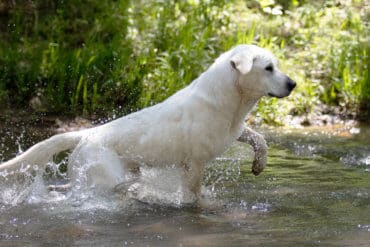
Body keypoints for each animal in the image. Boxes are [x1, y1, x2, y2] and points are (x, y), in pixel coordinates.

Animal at [0, 44, 294, 198]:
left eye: (277, 66)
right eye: (268, 68)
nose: (293, 83)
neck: (231, 101)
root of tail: (86, 133)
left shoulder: (235, 131)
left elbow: (258, 137)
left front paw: (259, 164)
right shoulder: (193, 164)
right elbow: (193, 194)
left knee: (70, 186)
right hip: (104, 177)